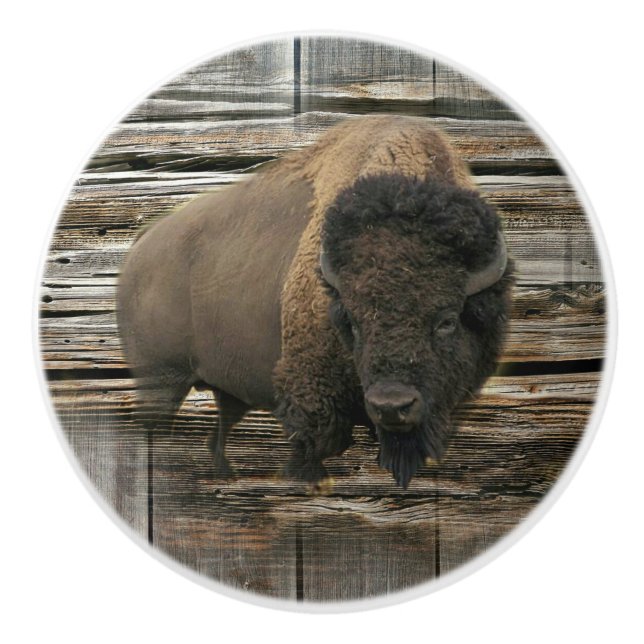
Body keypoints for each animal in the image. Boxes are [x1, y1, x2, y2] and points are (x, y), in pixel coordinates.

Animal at [117, 115, 513, 488]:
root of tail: (140, 247)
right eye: (351, 321)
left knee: (217, 437)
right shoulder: (312, 400)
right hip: (160, 381)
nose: (391, 405)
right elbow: (311, 451)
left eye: (447, 320)